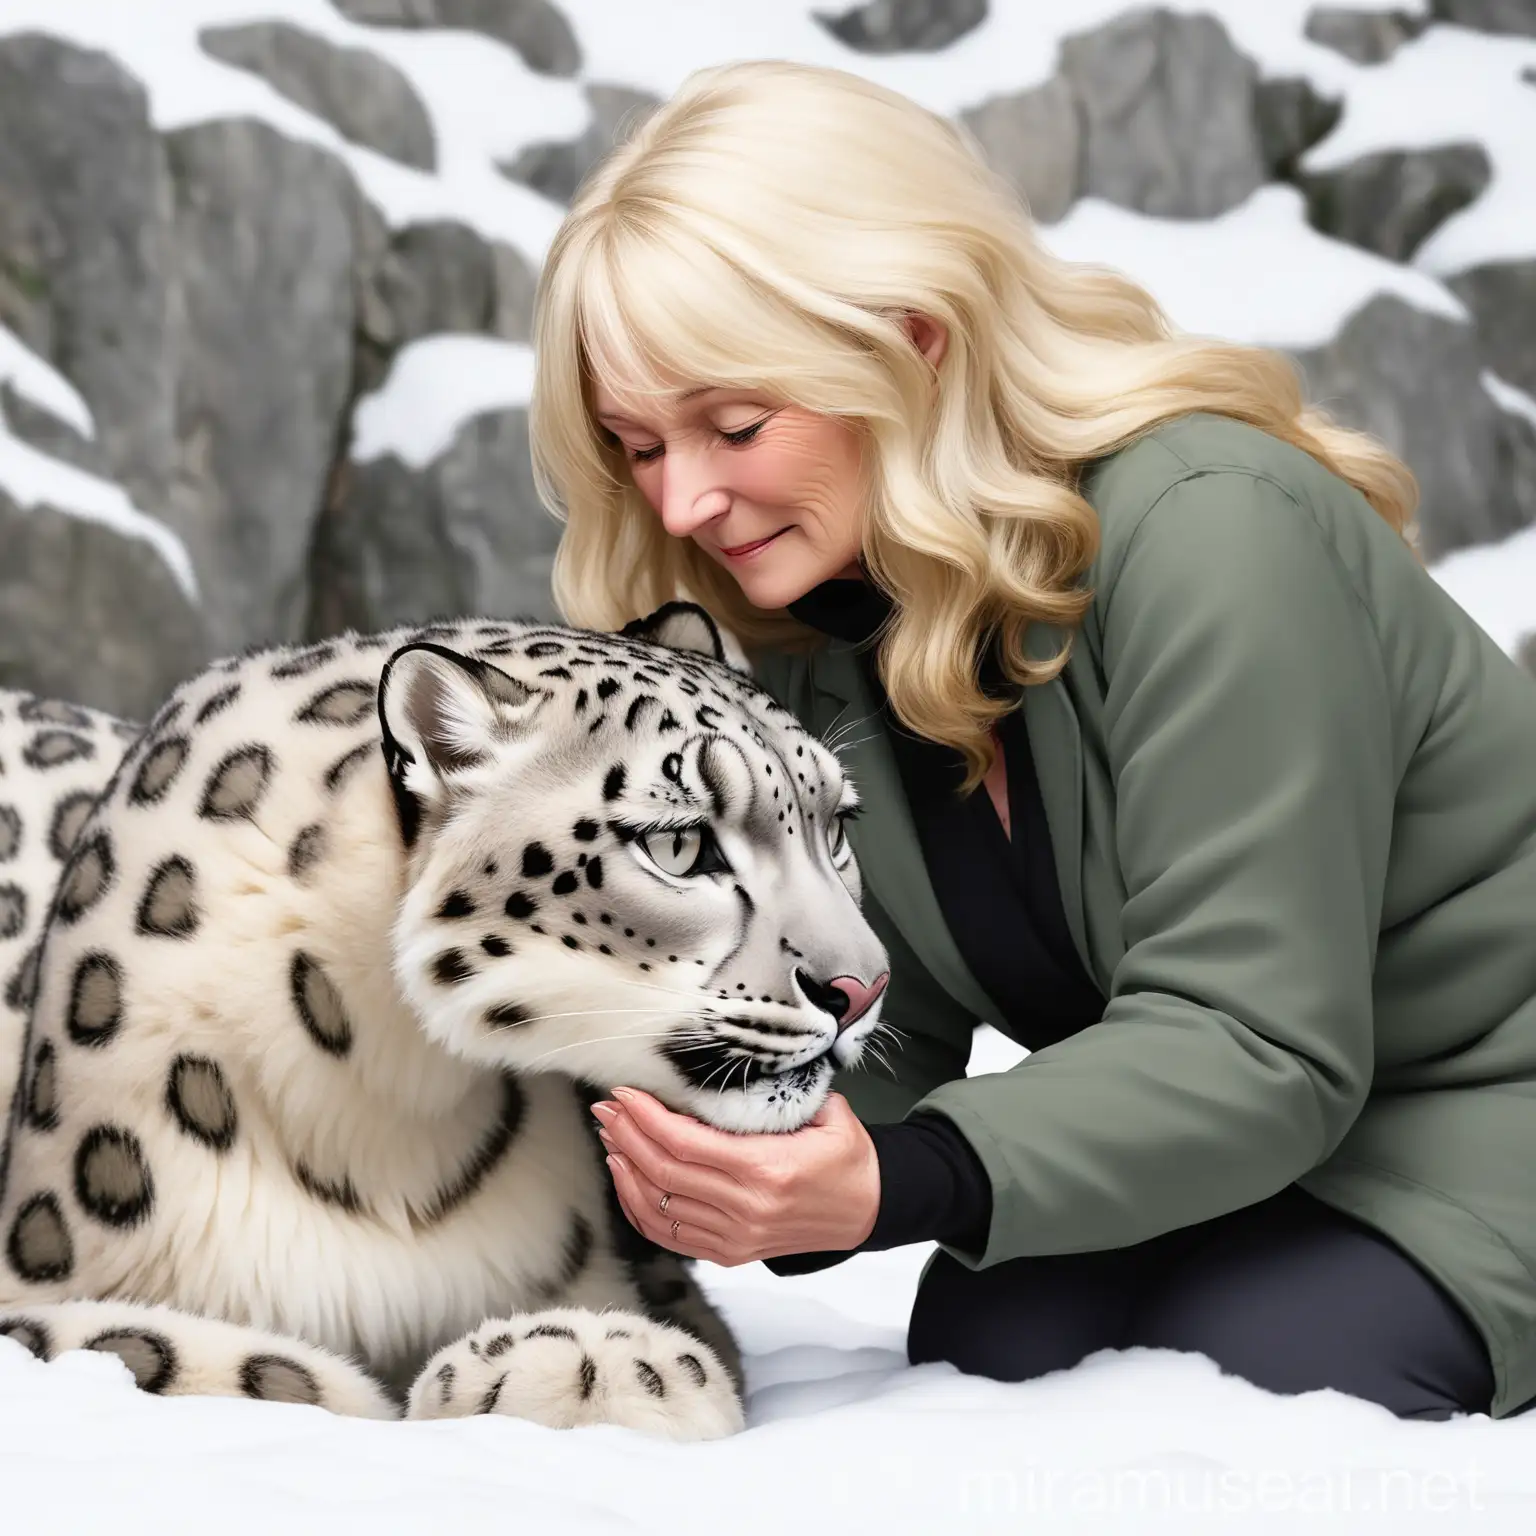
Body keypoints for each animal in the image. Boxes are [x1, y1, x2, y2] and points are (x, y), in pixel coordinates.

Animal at [0, 602, 890, 1437]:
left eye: (836, 824)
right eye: (679, 845)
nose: (861, 988)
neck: (390, 1120)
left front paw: (592, 1358)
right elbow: (146, 1346)